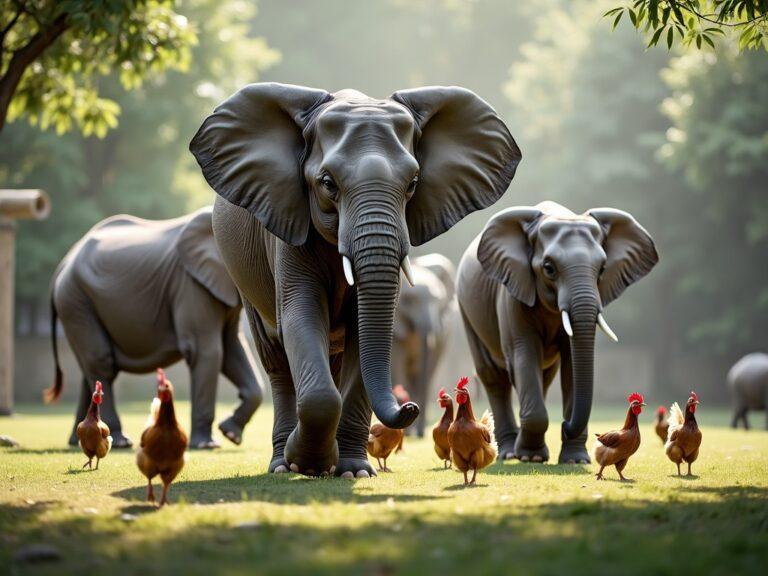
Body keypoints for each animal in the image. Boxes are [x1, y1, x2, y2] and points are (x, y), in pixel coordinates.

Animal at [48, 207, 264, 450]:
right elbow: (207, 351)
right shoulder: (189, 284)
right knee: (101, 361)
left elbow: (231, 348)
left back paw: (80, 442)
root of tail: (62, 265)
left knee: (89, 368)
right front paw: (207, 445)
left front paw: (230, 434)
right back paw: (119, 441)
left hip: (76, 303)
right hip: (75, 300)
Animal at [456, 201, 660, 464]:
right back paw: (510, 452)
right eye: (549, 268)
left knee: (543, 376)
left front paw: (575, 460)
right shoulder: (512, 294)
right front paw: (530, 458)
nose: (564, 424)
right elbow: (522, 352)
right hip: (466, 308)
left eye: (603, 269)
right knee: (493, 375)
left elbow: (572, 363)